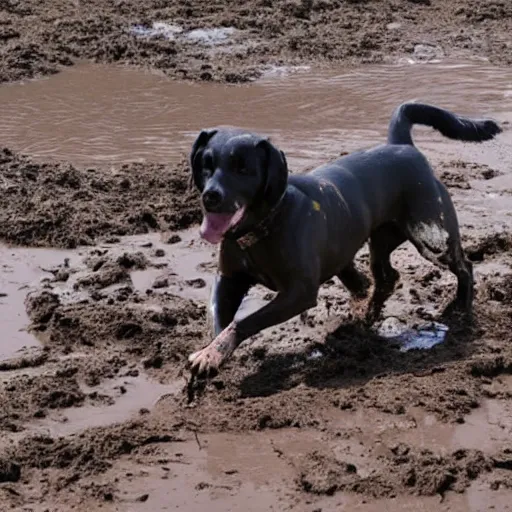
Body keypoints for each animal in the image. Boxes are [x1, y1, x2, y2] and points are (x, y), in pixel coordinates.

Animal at [185, 102, 500, 378]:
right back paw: (367, 317)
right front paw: (213, 351)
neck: (265, 226)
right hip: (380, 243)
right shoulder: (228, 279)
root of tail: (403, 147)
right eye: (206, 164)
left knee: (464, 266)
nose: (211, 196)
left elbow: (244, 320)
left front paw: (214, 351)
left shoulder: (299, 292)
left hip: (432, 236)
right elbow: (219, 317)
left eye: (243, 168)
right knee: (385, 278)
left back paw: (460, 308)